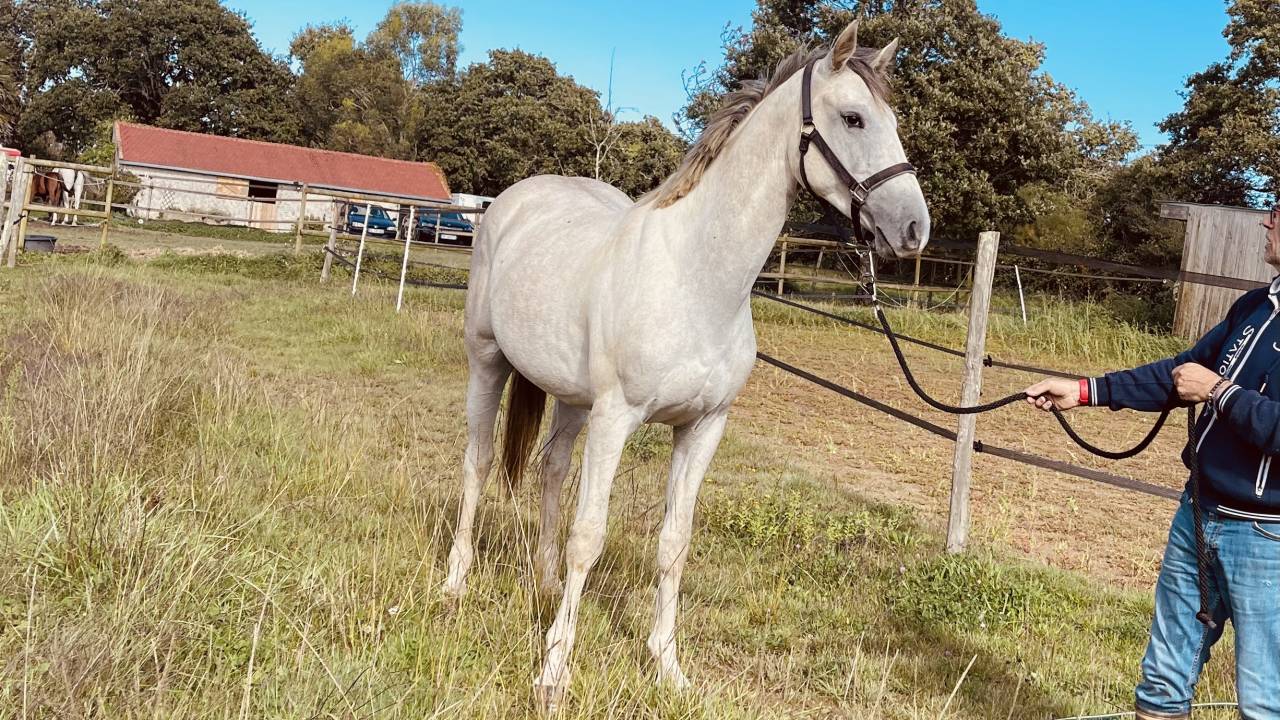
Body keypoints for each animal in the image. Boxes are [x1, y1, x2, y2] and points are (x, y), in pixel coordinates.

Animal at [443, 22, 930, 711]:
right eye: (854, 118)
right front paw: (553, 673)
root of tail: (513, 200)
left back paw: (542, 586)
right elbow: (589, 537)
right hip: (487, 362)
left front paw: (667, 666)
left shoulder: (702, 428)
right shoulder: (617, 419)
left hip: (571, 399)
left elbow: (673, 545)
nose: (914, 228)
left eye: (891, 119)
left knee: (551, 470)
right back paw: (455, 583)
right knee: (479, 462)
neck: (696, 278)